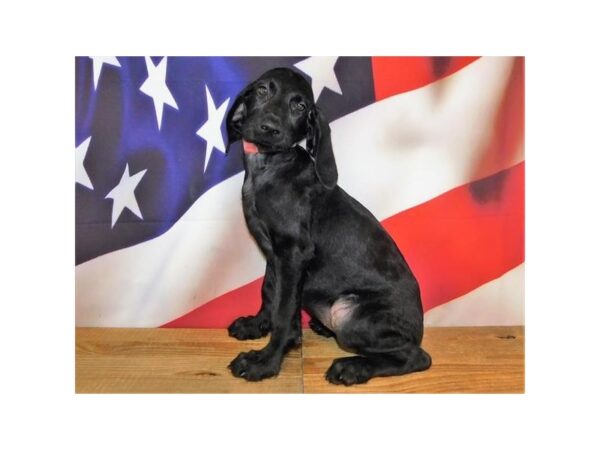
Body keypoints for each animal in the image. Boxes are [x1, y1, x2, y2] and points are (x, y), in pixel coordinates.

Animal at [225, 67, 432, 386]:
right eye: (261, 90)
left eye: (299, 106)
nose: (269, 128)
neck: (270, 165)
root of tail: (418, 327)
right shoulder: (275, 254)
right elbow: (269, 291)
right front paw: (257, 325)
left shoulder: (293, 253)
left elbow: (285, 311)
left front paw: (265, 361)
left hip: (349, 316)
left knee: (416, 357)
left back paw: (352, 367)